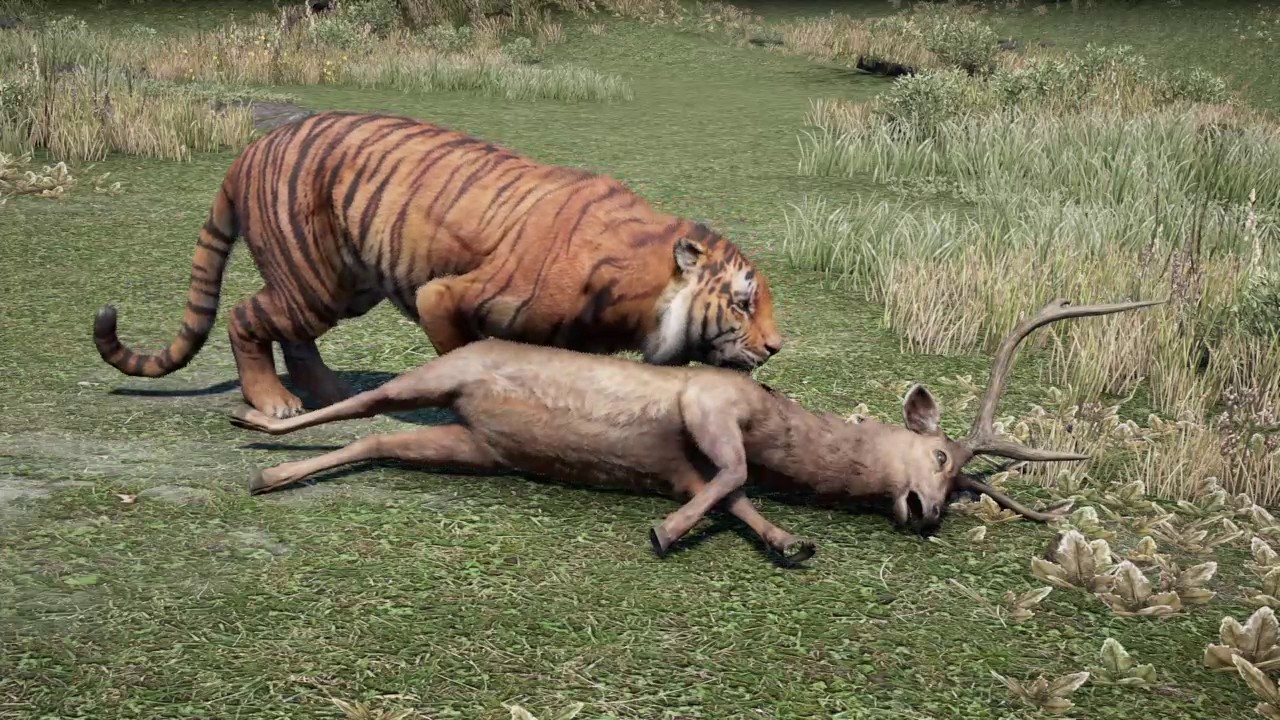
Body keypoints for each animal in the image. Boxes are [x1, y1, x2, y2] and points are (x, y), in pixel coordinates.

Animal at [93, 111, 784, 418]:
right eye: (743, 302)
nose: (777, 346)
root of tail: (250, 149)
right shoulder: (443, 296)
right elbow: (463, 354)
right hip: (315, 281)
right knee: (244, 317)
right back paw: (276, 401)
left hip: (345, 286)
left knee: (293, 335)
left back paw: (329, 393)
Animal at [229, 298, 1161, 566]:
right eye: (940, 455)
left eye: (968, 488)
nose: (926, 511)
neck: (780, 424)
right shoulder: (711, 405)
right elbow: (734, 476)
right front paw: (664, 533)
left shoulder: (689, 465)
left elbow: (734, 497)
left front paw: (789, 542)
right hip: (445, 375)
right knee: (363, 404)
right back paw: (254, 425)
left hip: (472, 444)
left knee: (380, 440)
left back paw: (271, 474)